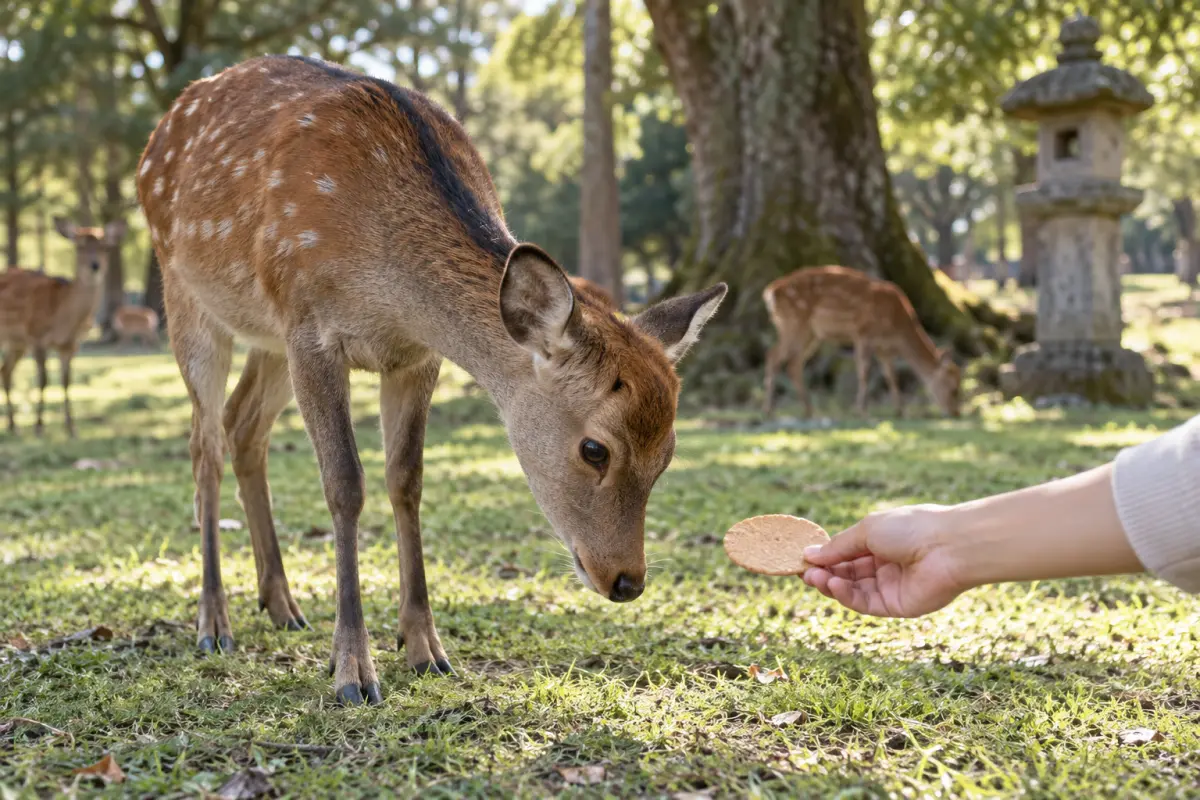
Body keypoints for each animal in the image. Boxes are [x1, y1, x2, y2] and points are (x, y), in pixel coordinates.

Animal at [0, 218, 126, 436]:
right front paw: (39, 426)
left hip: (17, 343)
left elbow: (67, 381)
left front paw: (71, 427)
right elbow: (43, 380)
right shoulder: (37, 337)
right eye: (79, 246)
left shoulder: (70, 345)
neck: (63, 320)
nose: (95, 266)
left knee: (5, 372)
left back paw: (13, 425)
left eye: (106, 247)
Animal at [135, 55, 726, 706]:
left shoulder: (415, 357)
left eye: (668, 453)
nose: (626, 580)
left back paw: (282, 603)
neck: (394, 293)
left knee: (243, 426)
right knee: (205, 444)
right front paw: (352, 670)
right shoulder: (311, 329)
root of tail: (158, 134)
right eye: (595, 448)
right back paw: (214, 622)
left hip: (267, 336)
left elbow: (407, 480)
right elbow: (345, 484)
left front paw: (425, 648)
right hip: (186, 293)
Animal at [762, 266, 961, 419]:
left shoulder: (884, 348)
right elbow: (864, 371)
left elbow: (891, 376)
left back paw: (808, 410)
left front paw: (900, 411)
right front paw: (862, 411)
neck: (898, 327)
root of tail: (771, 292)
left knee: (793, 364)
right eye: (953, 387)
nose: (955, 413)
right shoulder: (864, 333)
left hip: (810, 333)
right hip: (794, 323)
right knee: (774, 356)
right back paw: (771, 410)